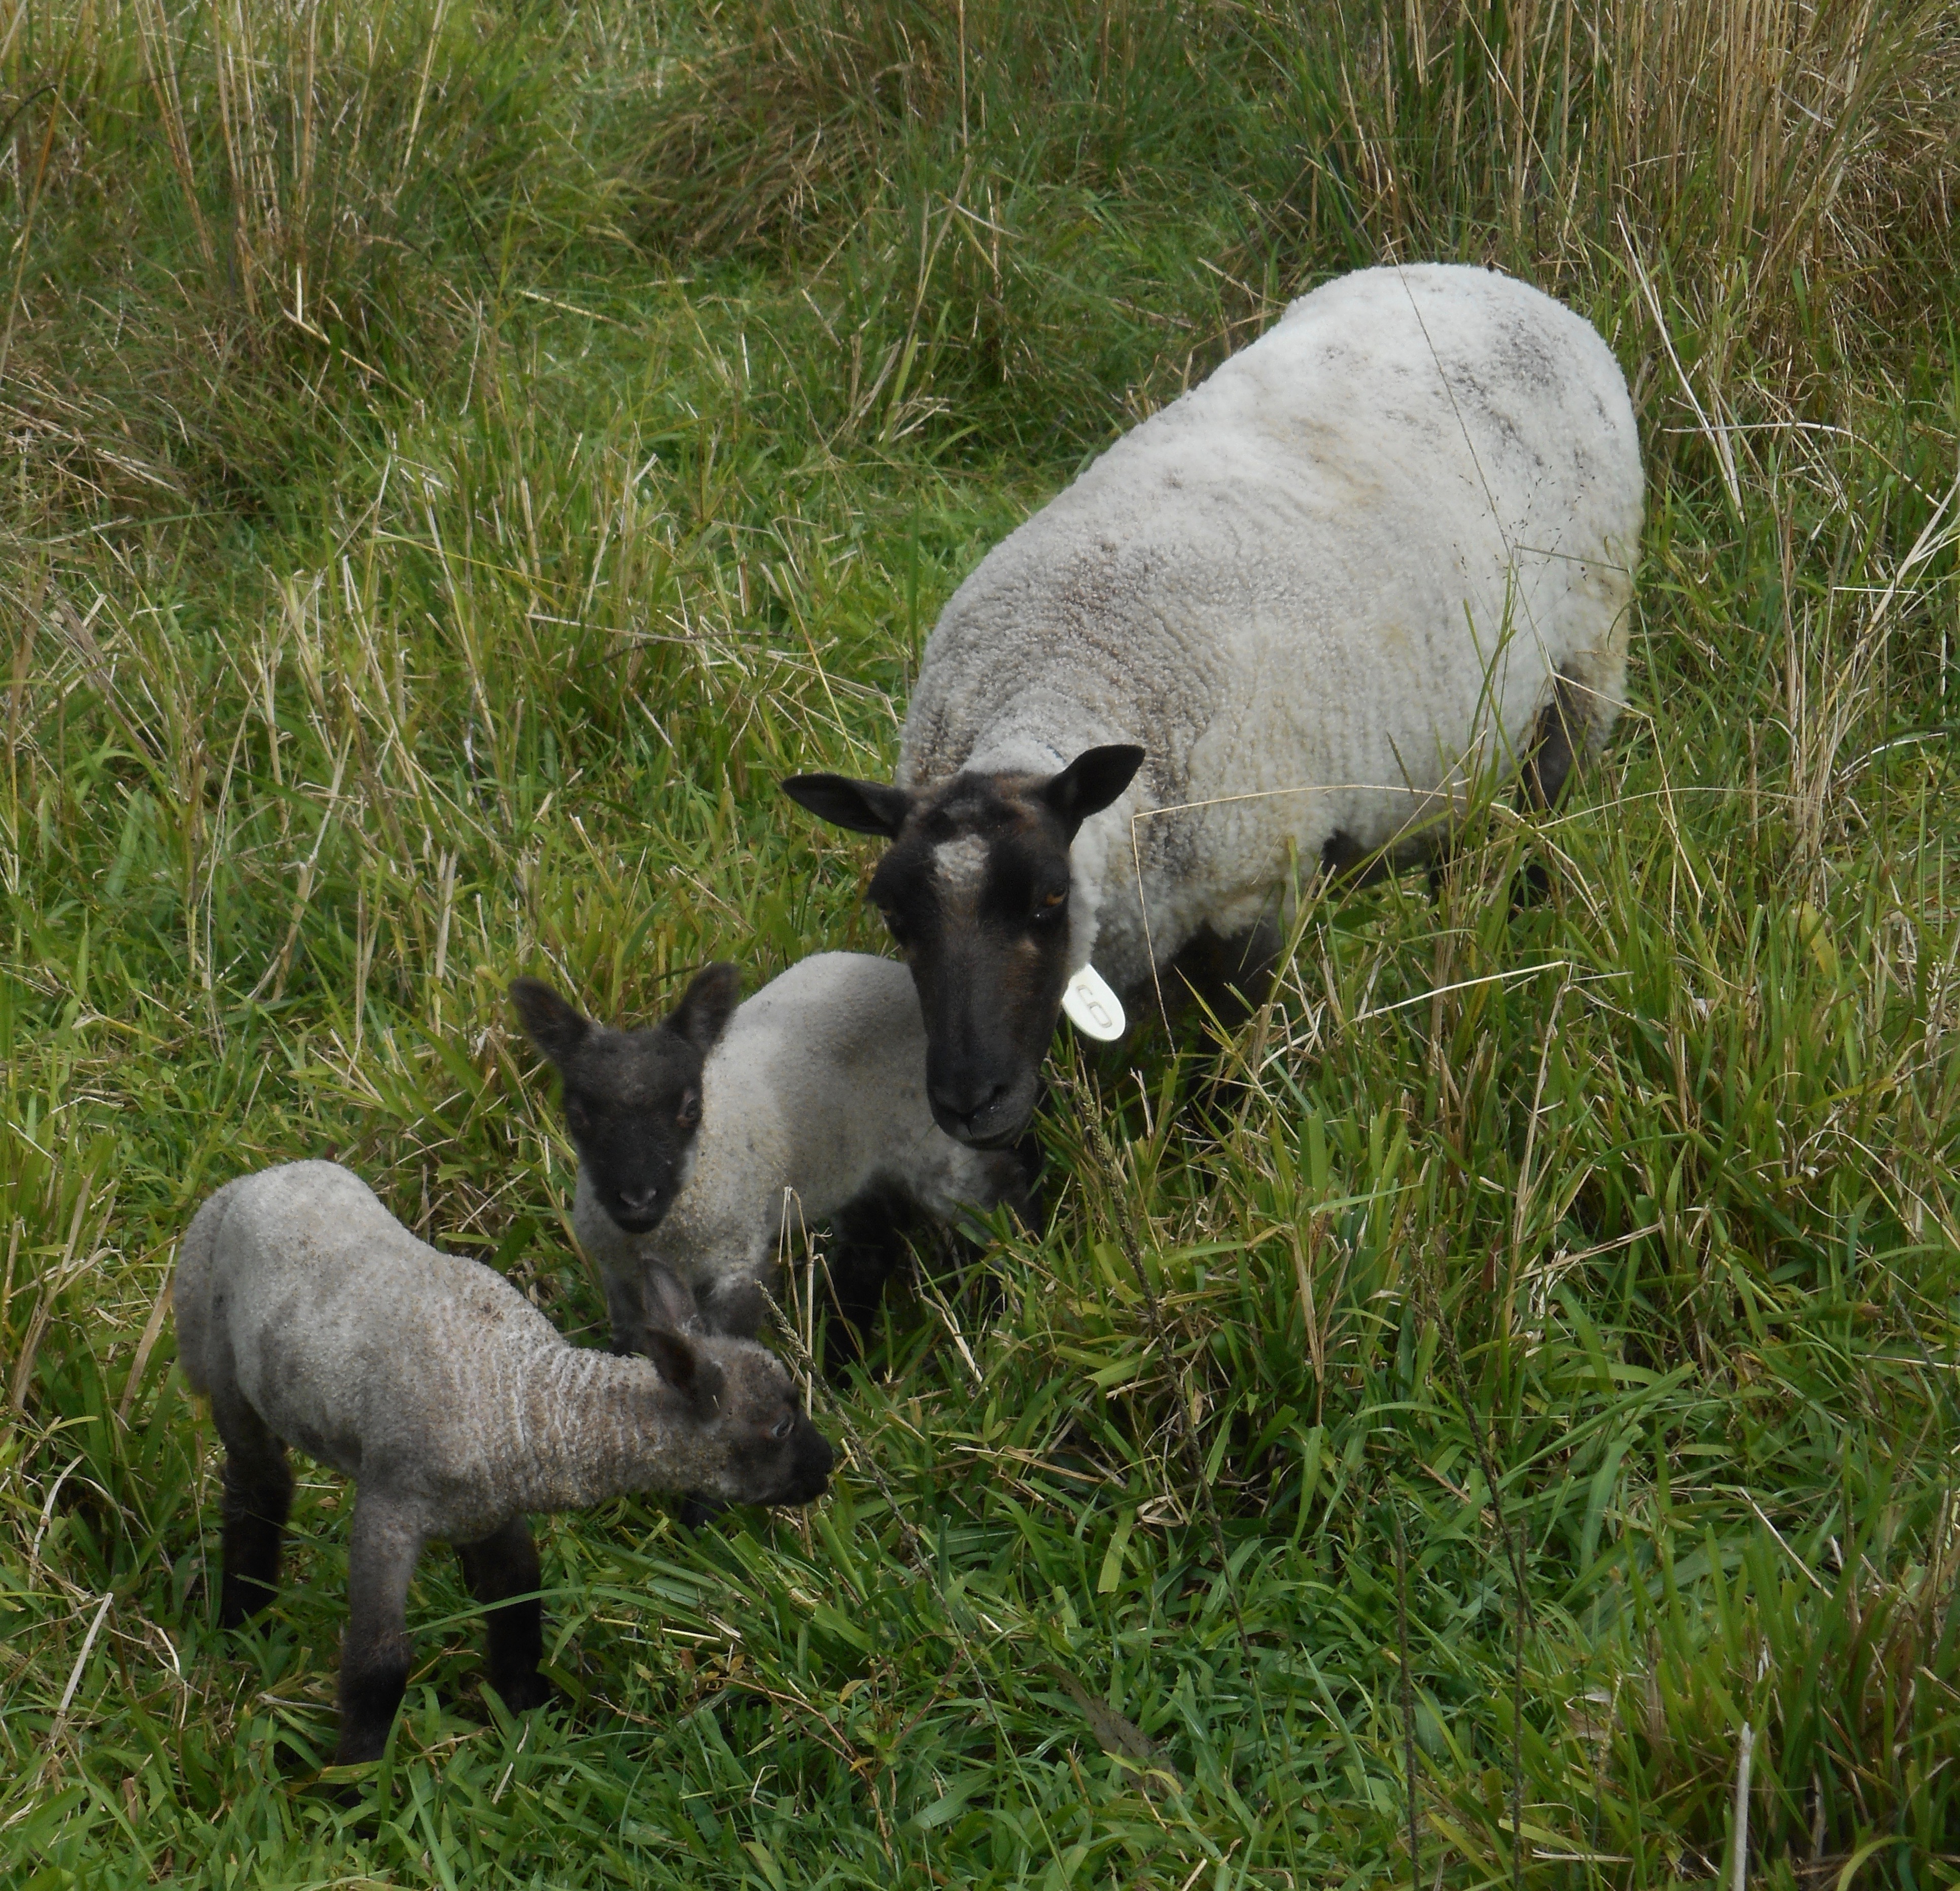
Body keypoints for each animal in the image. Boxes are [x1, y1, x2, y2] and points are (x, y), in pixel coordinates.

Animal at [170, 1160, 835, 1763]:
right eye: (779, 1426)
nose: (827, 1467)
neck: (521, 1394)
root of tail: (250, 1180)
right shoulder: (388, 1510)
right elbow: (380, 1658)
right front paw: (355, 1779)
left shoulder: (488, 1510)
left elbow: (517, 1607)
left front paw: (528, 1716)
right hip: (221, 1358)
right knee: (259, 1486)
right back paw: (241, 1614)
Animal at [521, 952, 1042, 1348]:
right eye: (577, 1113)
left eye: (691, 1106)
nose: (636, 1198)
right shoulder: (622, 1280)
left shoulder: (737, 1257)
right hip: (852, 1167)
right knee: (869, 1251)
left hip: (938, 1145)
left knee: (1001, 1204)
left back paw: (1020, 1291)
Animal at [788, 262, 1646, 1152]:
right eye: (894, 917)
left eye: (1049, 899)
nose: (969, 1101)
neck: (1065, 675)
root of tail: (1492, 279)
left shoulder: (1257, 896)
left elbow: (1226, 1069)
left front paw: (1216, 1150)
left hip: (1586, 664)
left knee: (1541, 817)